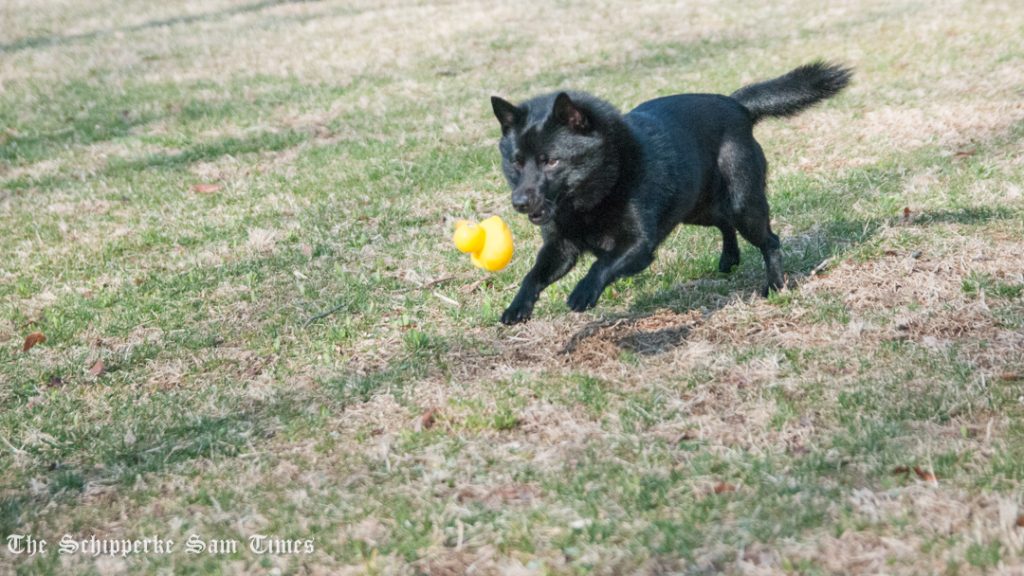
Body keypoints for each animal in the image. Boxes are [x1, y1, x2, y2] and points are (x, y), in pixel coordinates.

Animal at [491, 62, 851, 325]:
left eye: (551, 161)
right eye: (516, 162)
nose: (519, 202)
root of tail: (735, 104)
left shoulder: (639, 246)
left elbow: (603, 264)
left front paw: (583, 293)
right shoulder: (560, 249)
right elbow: (533, 275)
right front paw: (517, 309)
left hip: (743, 204)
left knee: (769, 240)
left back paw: (775, 286)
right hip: (696, 208)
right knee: (724, 223)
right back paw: (729, 259)